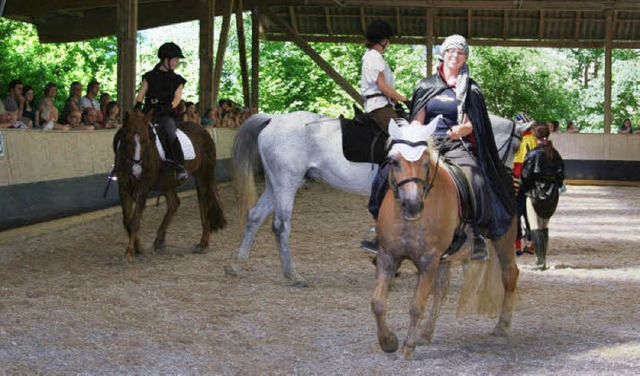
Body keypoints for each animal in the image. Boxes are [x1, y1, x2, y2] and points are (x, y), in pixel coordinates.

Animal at [114, 110, 226, 262]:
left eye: (145, 141)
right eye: (126, 139)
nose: (137, 171)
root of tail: (204, 130)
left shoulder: (143, 187)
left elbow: (135, 220)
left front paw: (129, 253)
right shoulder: (124, 187)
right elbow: (127, 221)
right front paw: (138, 248)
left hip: (203, 176)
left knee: (205, 204)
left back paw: (203, 243)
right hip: (167, 182)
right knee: (174, 203)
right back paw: (160, 240)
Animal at [225, 110, 528, 286]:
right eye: (516, 144)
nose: (511, 175)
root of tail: (273, 119)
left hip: (277, 183)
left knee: (254, 217)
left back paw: (237, 265)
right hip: (286, 182)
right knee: (280, 226)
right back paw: (292, 274)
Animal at [372, 119, 516, 360]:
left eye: (425, 162)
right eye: (394, 161)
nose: (412, 205)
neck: (410, 221)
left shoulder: (428, 260)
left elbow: (416, 305)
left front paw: (408, 346)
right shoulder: (388, 256)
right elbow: (378, 302)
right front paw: (388, 341)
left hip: (504, 240)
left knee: (509, 276)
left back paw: (502, 327)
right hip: (446, 257)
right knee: (441, 289)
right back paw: (426, 332)